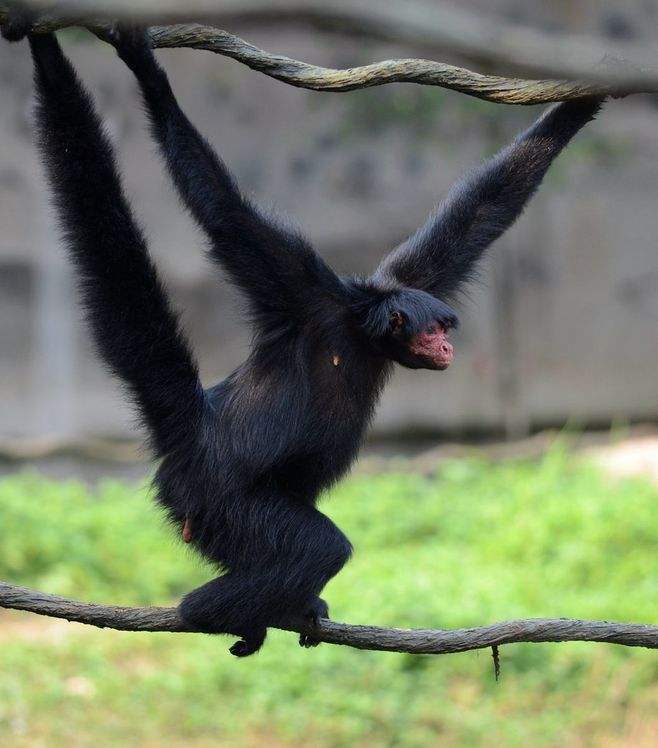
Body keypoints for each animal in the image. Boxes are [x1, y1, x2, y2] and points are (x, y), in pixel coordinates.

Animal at [3, 20, 600, 656]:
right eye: (436, 330)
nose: (447, 347)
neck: (358, 332)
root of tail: (196, 435)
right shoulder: (299, 287)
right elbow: (225, 215)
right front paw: (149, 75)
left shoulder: (406, 280)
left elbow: (484, 210)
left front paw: (587, 102)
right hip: (225, 504)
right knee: (318, 548)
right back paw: (207, 610)